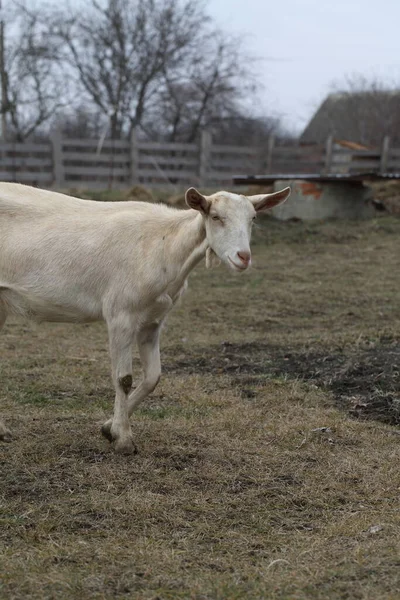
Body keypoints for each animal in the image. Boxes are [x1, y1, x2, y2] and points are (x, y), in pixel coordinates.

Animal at [0, 183, 290, 450]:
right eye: (216, 217)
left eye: (253, 218)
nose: (243, 257)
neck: (165, 245)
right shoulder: (120, 315)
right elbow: (124, 379)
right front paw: (124, 440)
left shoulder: (153, 320)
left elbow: (153, 377)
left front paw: (109, 428)